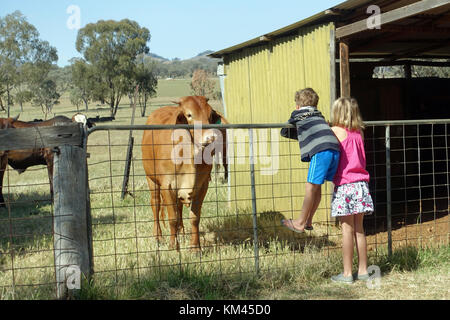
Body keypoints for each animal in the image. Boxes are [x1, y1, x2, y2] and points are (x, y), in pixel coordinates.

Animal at [141, 96, 227, 251]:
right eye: (189, 115)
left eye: (210, 114)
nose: (210, 138)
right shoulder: (167, 186)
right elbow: (172, 218)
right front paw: (173, 246)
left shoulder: (202, 185)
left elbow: (194, 218)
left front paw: (195, 247)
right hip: (151, 180)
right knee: (155, 204)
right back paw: (158, 237)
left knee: (179, 206)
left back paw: (181, 232)